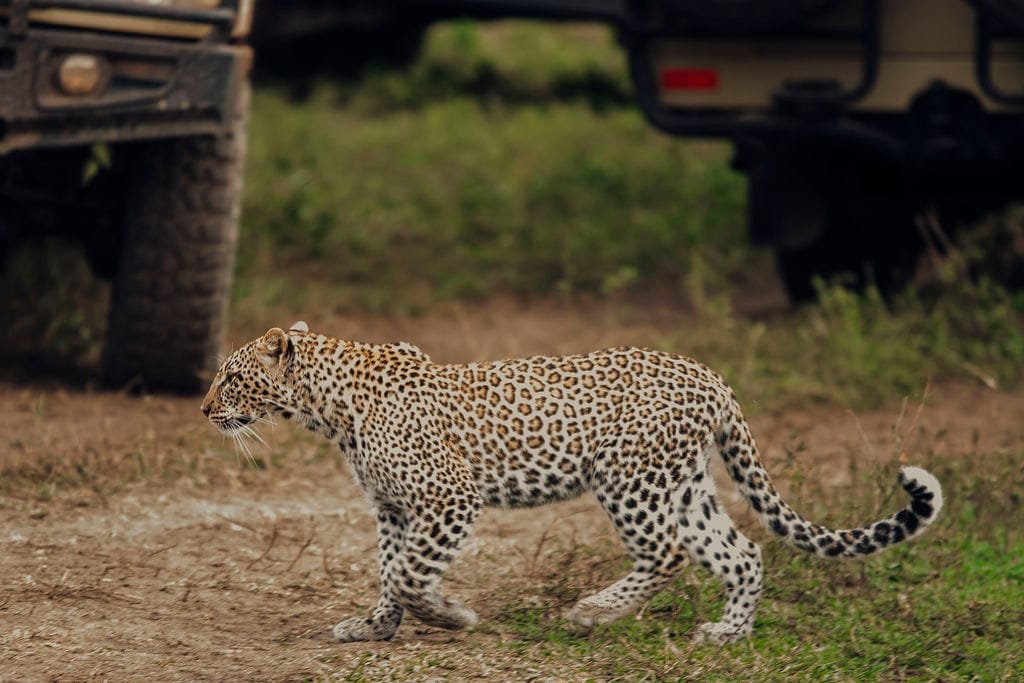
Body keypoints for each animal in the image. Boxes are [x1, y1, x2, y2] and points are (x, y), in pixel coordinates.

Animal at [201, 321, 943, 645]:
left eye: (231, 377)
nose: (205, 410)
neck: (327, 406)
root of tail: (712, 376)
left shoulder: (448, 498)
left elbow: (410, 573)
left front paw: (450, 614)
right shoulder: (393, 507)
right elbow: (389, 570)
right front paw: (375, 626)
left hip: (630, 480)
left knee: (668, 553)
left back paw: (594, 612)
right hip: (684, 484)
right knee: (743, 553)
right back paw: (725, 634)